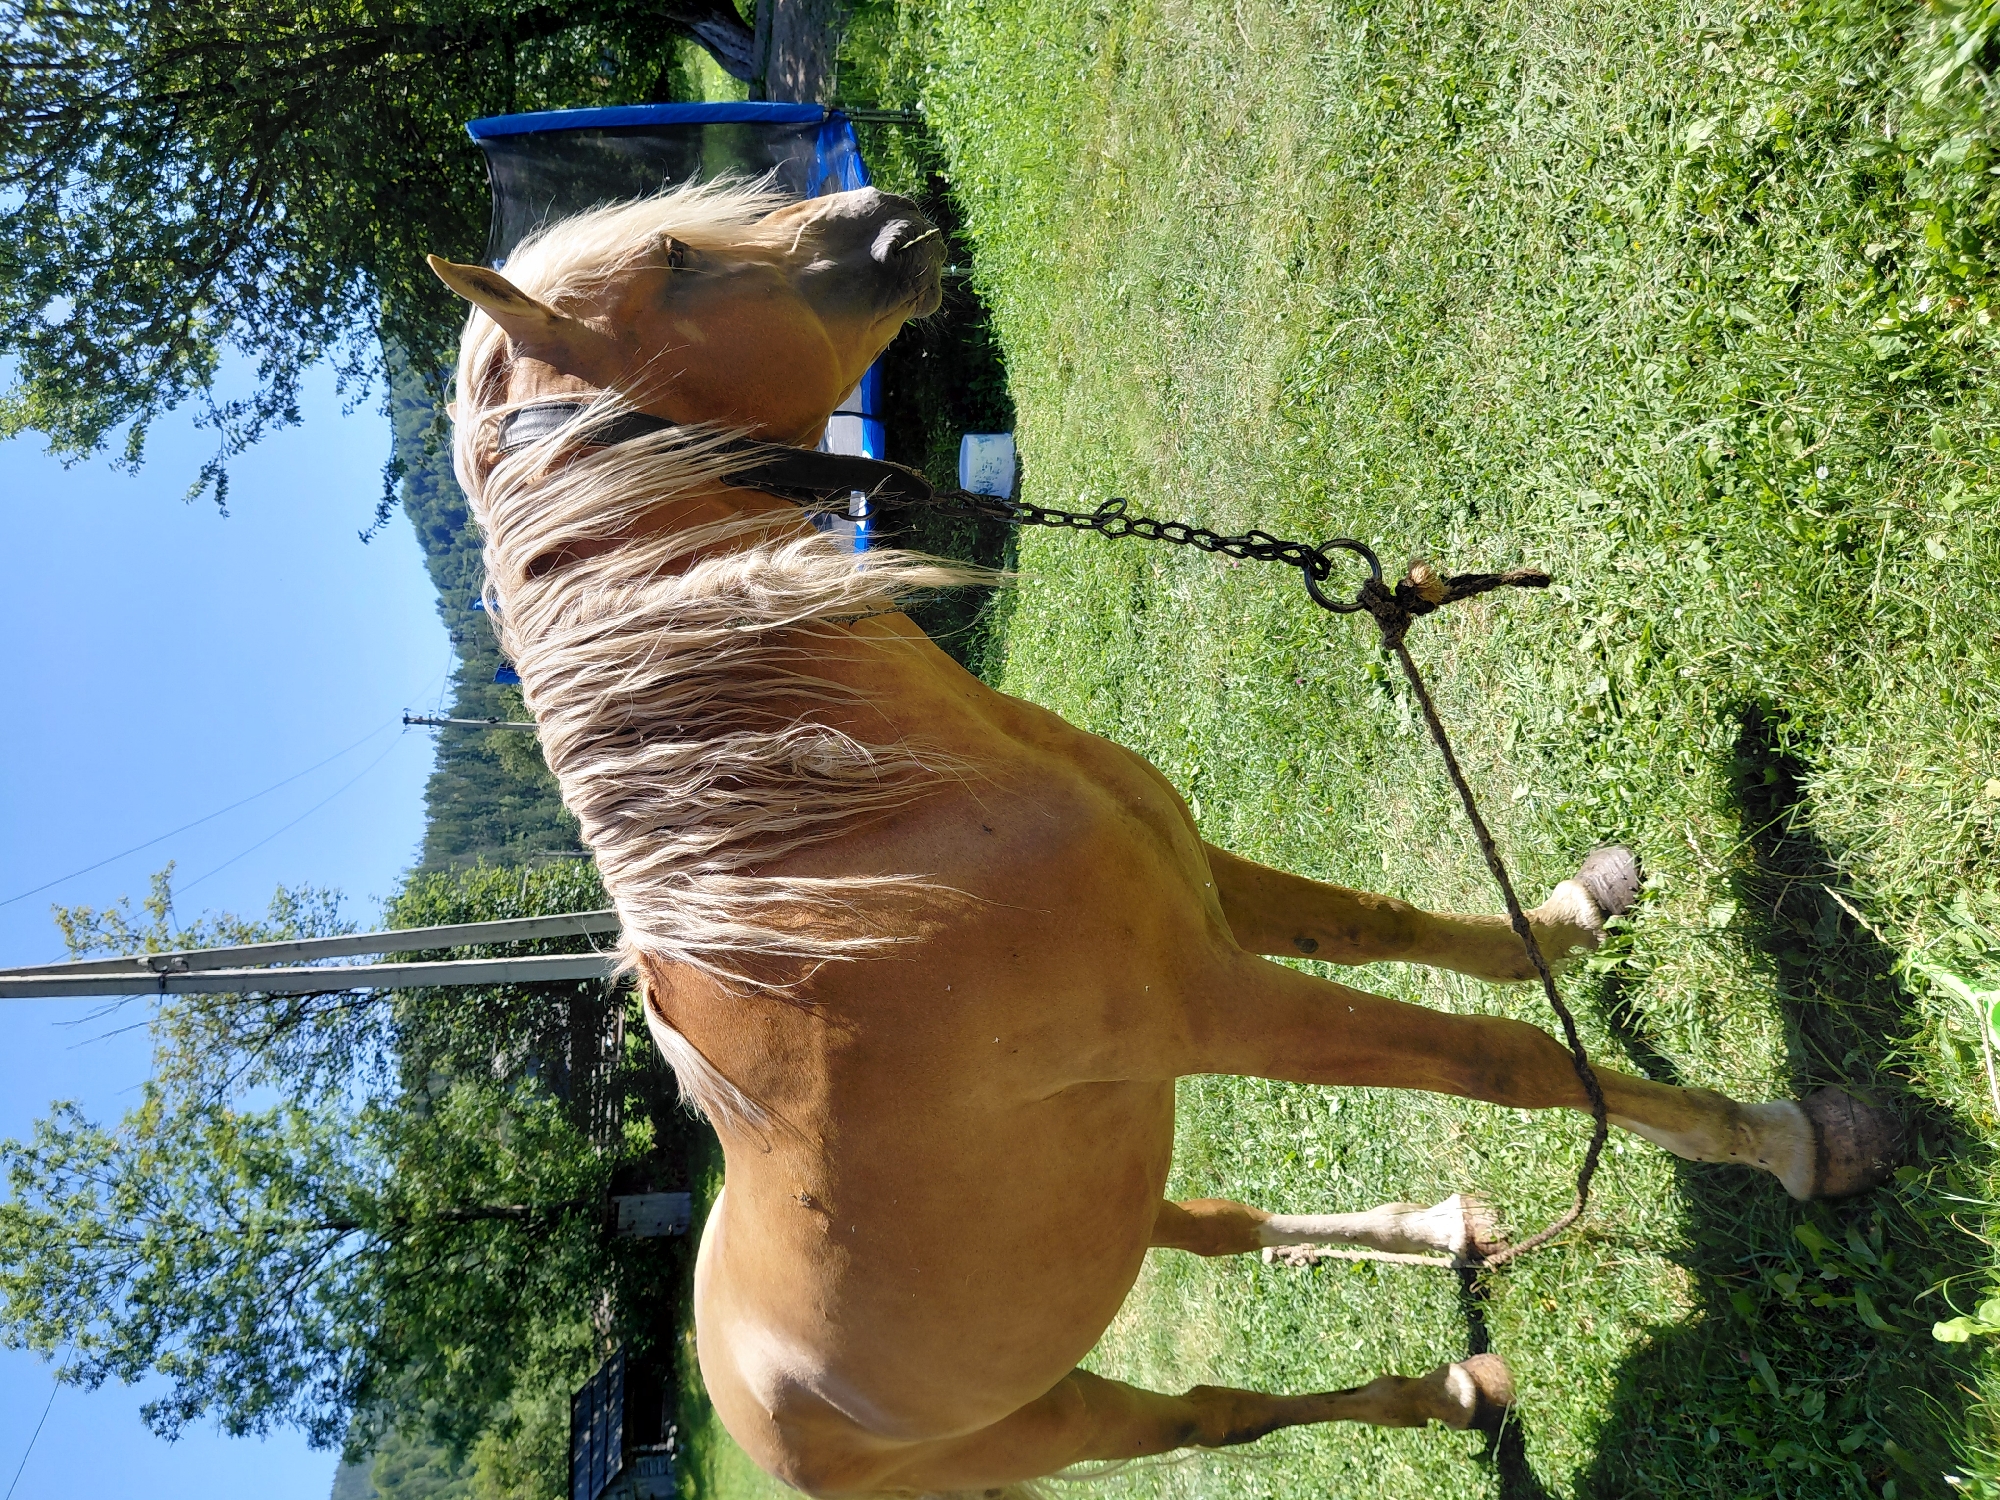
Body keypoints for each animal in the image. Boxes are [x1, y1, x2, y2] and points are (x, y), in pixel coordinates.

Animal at [426, 180, 1901, 1498]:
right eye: (675, 261)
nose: (894, 218)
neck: (850, 855)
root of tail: (743, 1407)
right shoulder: (1211, 1004)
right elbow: (1508, 1059)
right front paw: (1789, 1140)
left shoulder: (1207, 893)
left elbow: (1402, 931)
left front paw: (1575, 917)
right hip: (1067, 1414)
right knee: (1214, 1413)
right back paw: (1452, 1391)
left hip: (1121, 1200)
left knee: (1221, 1231)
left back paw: (1441, 1235)